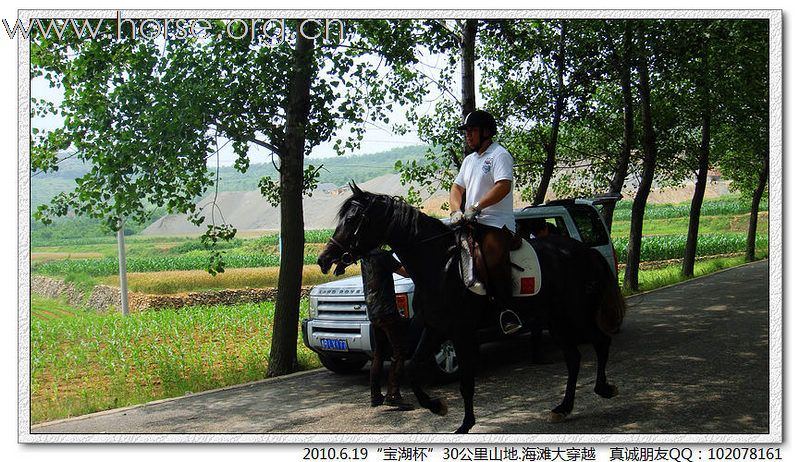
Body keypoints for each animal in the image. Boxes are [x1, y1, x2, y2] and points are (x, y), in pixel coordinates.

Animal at [318, 185, 624, 434]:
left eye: (353, 220)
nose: (324, 258)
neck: (440, 266)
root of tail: (586, 251)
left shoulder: (461, 332)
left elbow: (465, 381)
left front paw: (465, 425)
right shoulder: (434, 328)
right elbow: (414, 370)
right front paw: (436, 406)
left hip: (576, 315)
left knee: (601, 342)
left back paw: (604, 388)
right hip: (556, 319)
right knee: (574, 358)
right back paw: (563, 407)